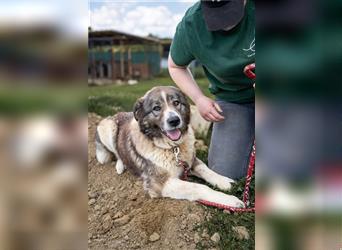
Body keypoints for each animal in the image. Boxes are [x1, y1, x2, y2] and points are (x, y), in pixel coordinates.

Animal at [95, 86, 243, 207]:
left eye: (176, 103)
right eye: (156, 108)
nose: (174, 121)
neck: (173, 148)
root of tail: (117, 114)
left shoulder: (190, 161)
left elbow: (206, 170)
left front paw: (225, 182)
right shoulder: (160, 184)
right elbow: (199, 187)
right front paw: (230, 200)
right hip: (108, 129)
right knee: (116, 152)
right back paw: (121, 165)